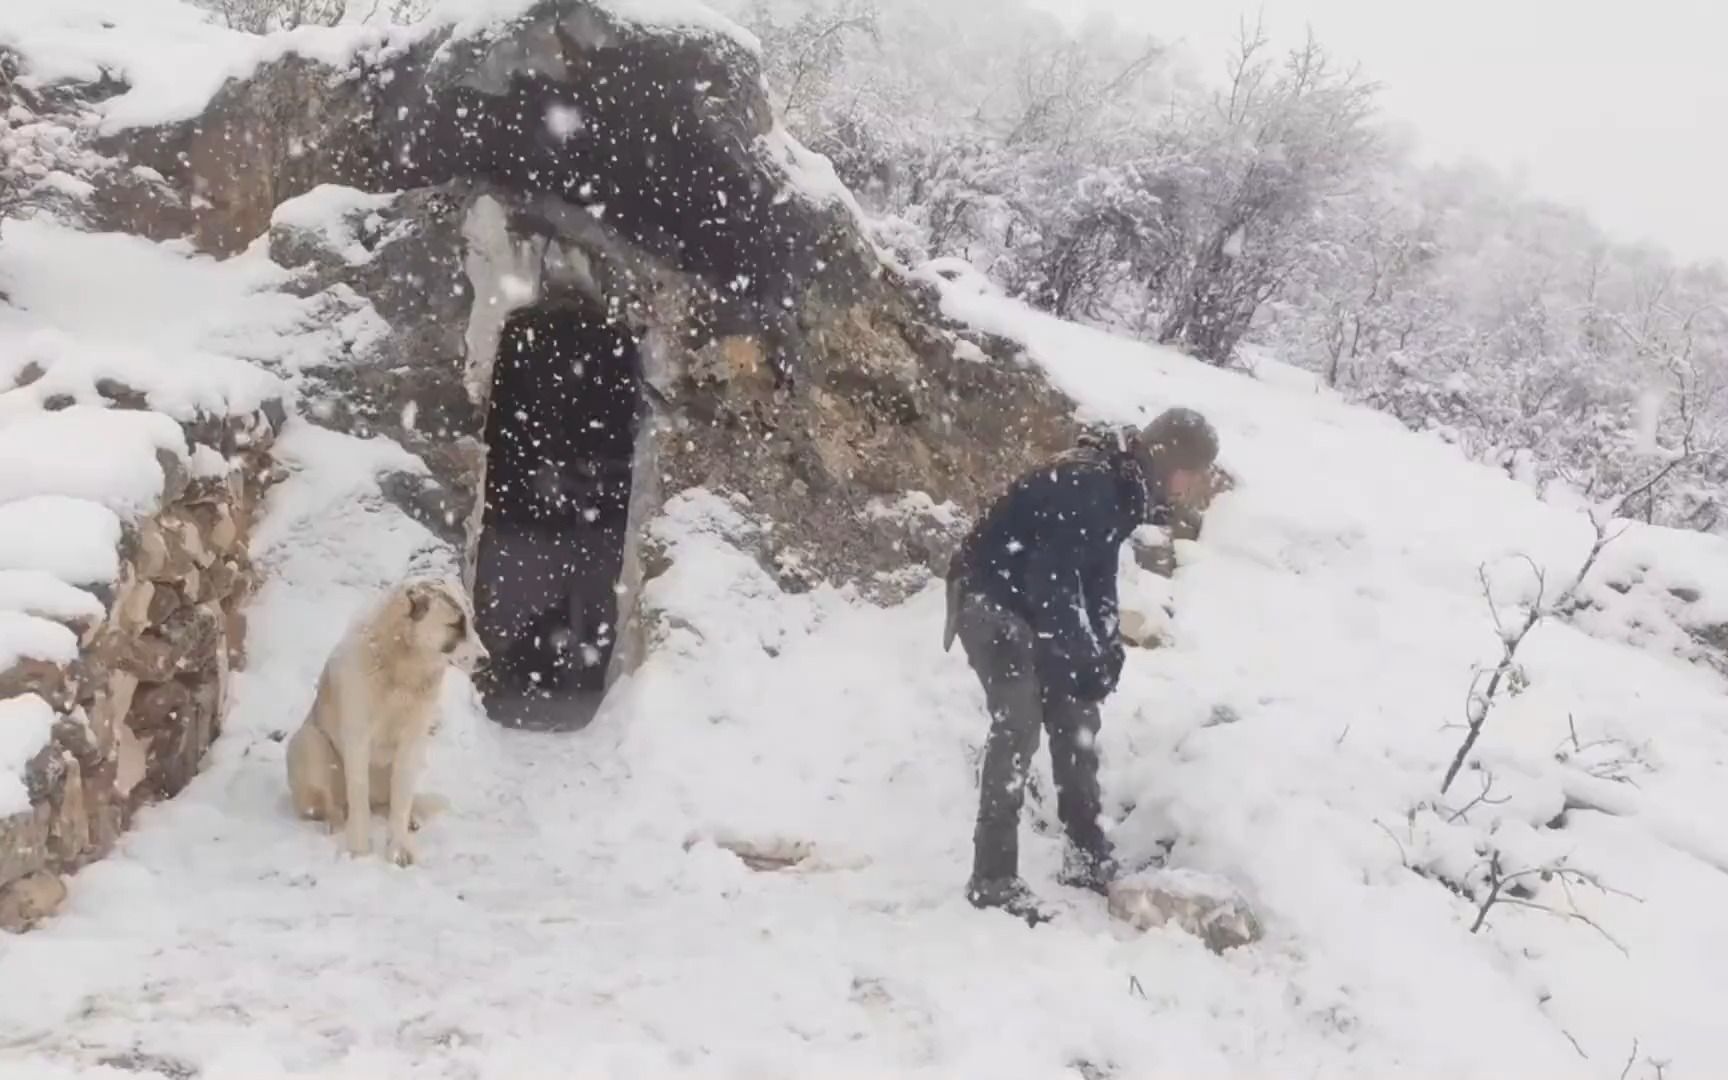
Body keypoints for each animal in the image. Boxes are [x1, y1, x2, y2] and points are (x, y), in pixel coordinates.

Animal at [285, 577, 487, 864]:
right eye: (455, 625)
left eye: (470, 621)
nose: (486, 660)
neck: (402, 670)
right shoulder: (357, 737)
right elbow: (358, 797)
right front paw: (359, 851)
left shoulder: (413, 740)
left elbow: (400, 803)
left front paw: (398, 849)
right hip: (308, 742)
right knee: (333, 805)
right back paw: (336, 824)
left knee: (389, 804)